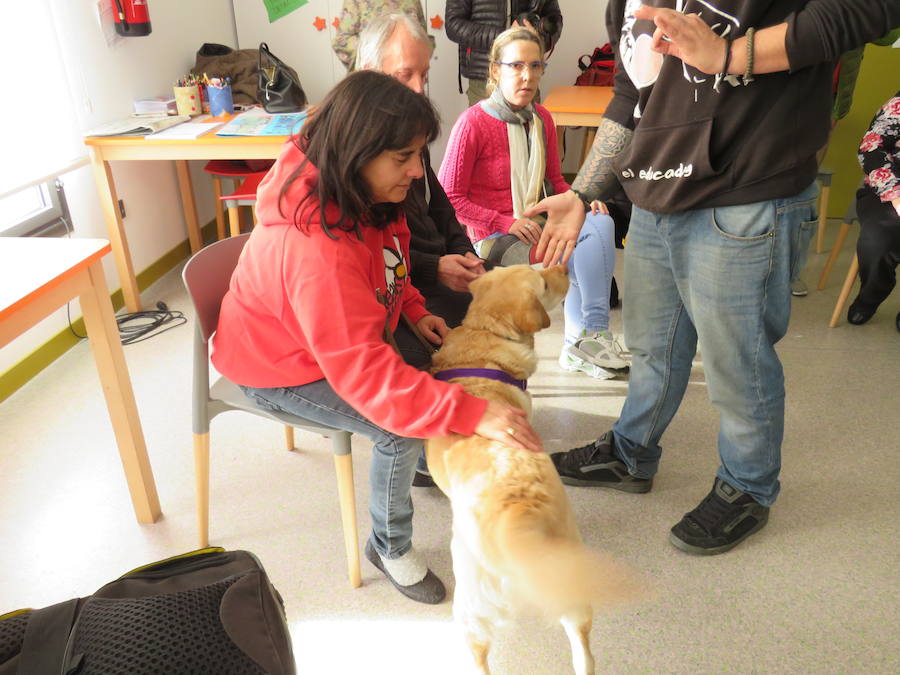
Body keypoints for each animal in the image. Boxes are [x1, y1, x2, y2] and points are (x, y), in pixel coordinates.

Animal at [426, 266, 628, 675]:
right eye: (543, 282)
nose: (565, 266)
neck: (485, 332)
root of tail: (519, 509)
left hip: (471, 609)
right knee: (583, 652)